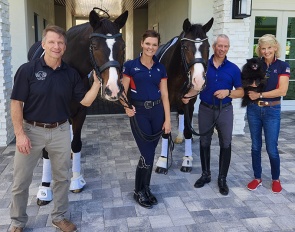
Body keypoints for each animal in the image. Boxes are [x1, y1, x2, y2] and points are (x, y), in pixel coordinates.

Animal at [29, 9, 130, 205]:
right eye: (95, 45)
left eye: (122, 46)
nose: (113, 89)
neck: (67, 66)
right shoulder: (46, 116)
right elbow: (46, 151)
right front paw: (45, 190)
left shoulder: (80, 112)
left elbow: (76, 144)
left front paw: (76, 181)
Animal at [155, 17, 215, 173]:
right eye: (185, 47)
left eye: (208, 47)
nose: (198, 80)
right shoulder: (165, 103)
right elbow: (165, 130)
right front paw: (162, 161)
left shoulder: (189, 102)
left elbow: (188, 130)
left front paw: (187, 160)